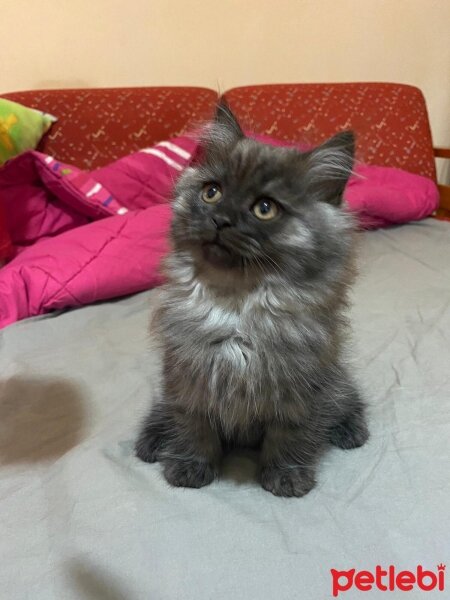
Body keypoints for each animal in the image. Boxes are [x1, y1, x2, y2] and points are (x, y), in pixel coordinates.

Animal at [135, 102, 368, 496]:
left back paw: (350, 429)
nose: (220, 219)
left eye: (265, 208)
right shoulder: (187, 376)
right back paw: (151, 440)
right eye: (212, 192)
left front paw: (286, 476)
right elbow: (192, 427)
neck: (236, 306)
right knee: (163, 411)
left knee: (347, 397)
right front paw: (189, 467)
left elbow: (290, 435)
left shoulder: (301, 386)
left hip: (333, 378)